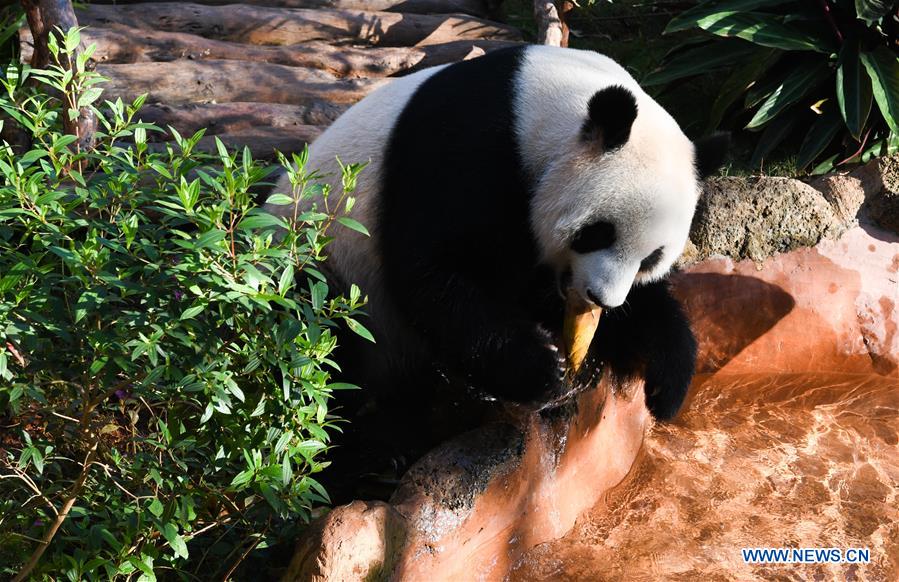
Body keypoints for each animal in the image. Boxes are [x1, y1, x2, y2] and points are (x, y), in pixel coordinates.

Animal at [270, 45, 727, 422]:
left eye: (651, 258)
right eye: (598, 234)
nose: (601, 298)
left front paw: (667, 377)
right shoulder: (462, 146)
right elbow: (431, 272)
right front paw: (542, 367)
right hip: (319, 265)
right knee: (323, 346)